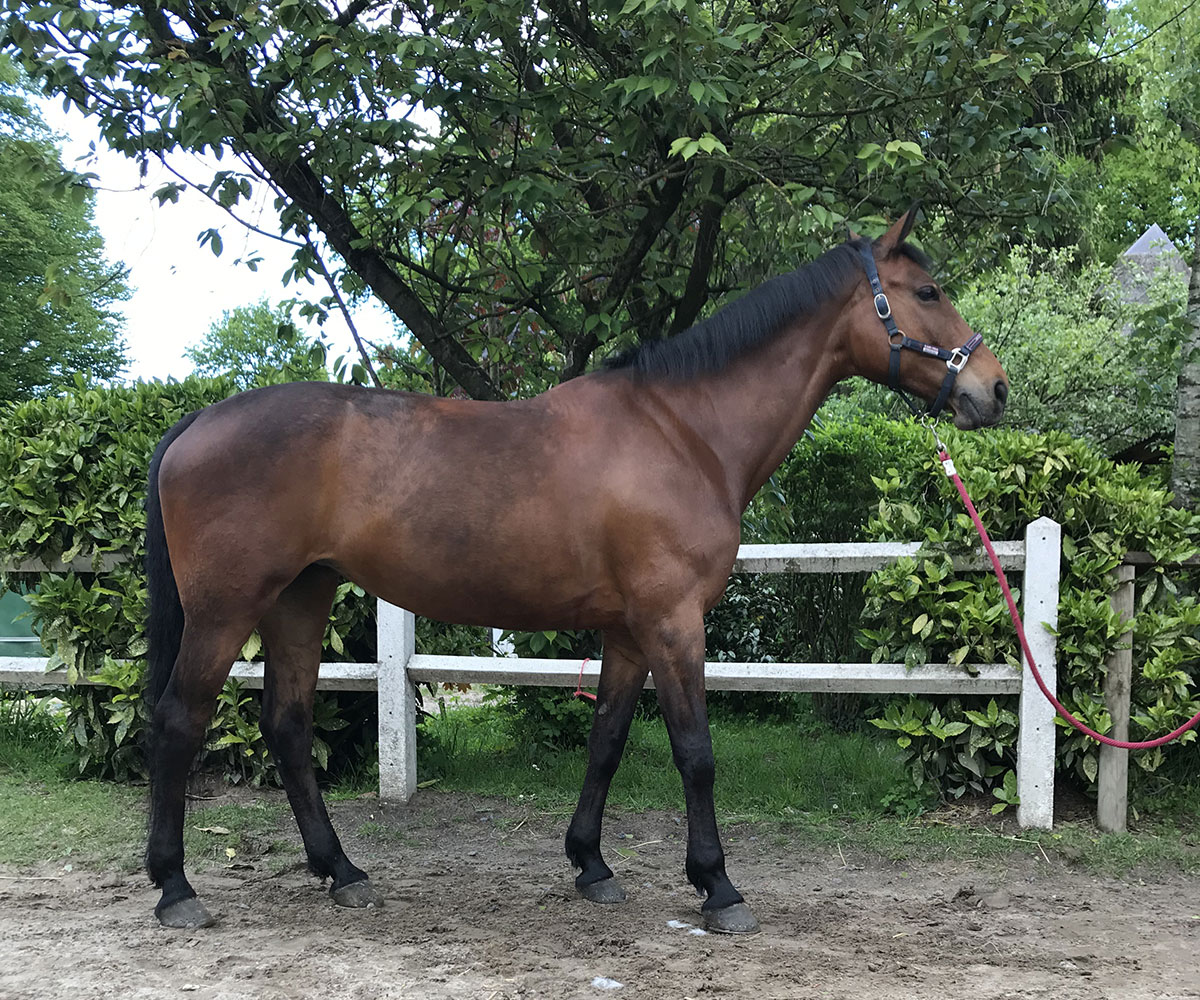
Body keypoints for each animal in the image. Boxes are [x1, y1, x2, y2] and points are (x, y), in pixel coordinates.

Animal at [140, 206, 1008, 931]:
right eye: (926, 291)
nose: (992, 388)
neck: (683, 430)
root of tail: (197, 421)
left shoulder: (627, 632)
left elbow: (607, 743)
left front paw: (591, 865)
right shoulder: (673, 621)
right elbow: (696, 752)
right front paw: (718, 886)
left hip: (300, 596)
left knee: (287, 725)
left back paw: (342, 871)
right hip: (227, 608)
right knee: (179, 721)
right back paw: (176, 888)